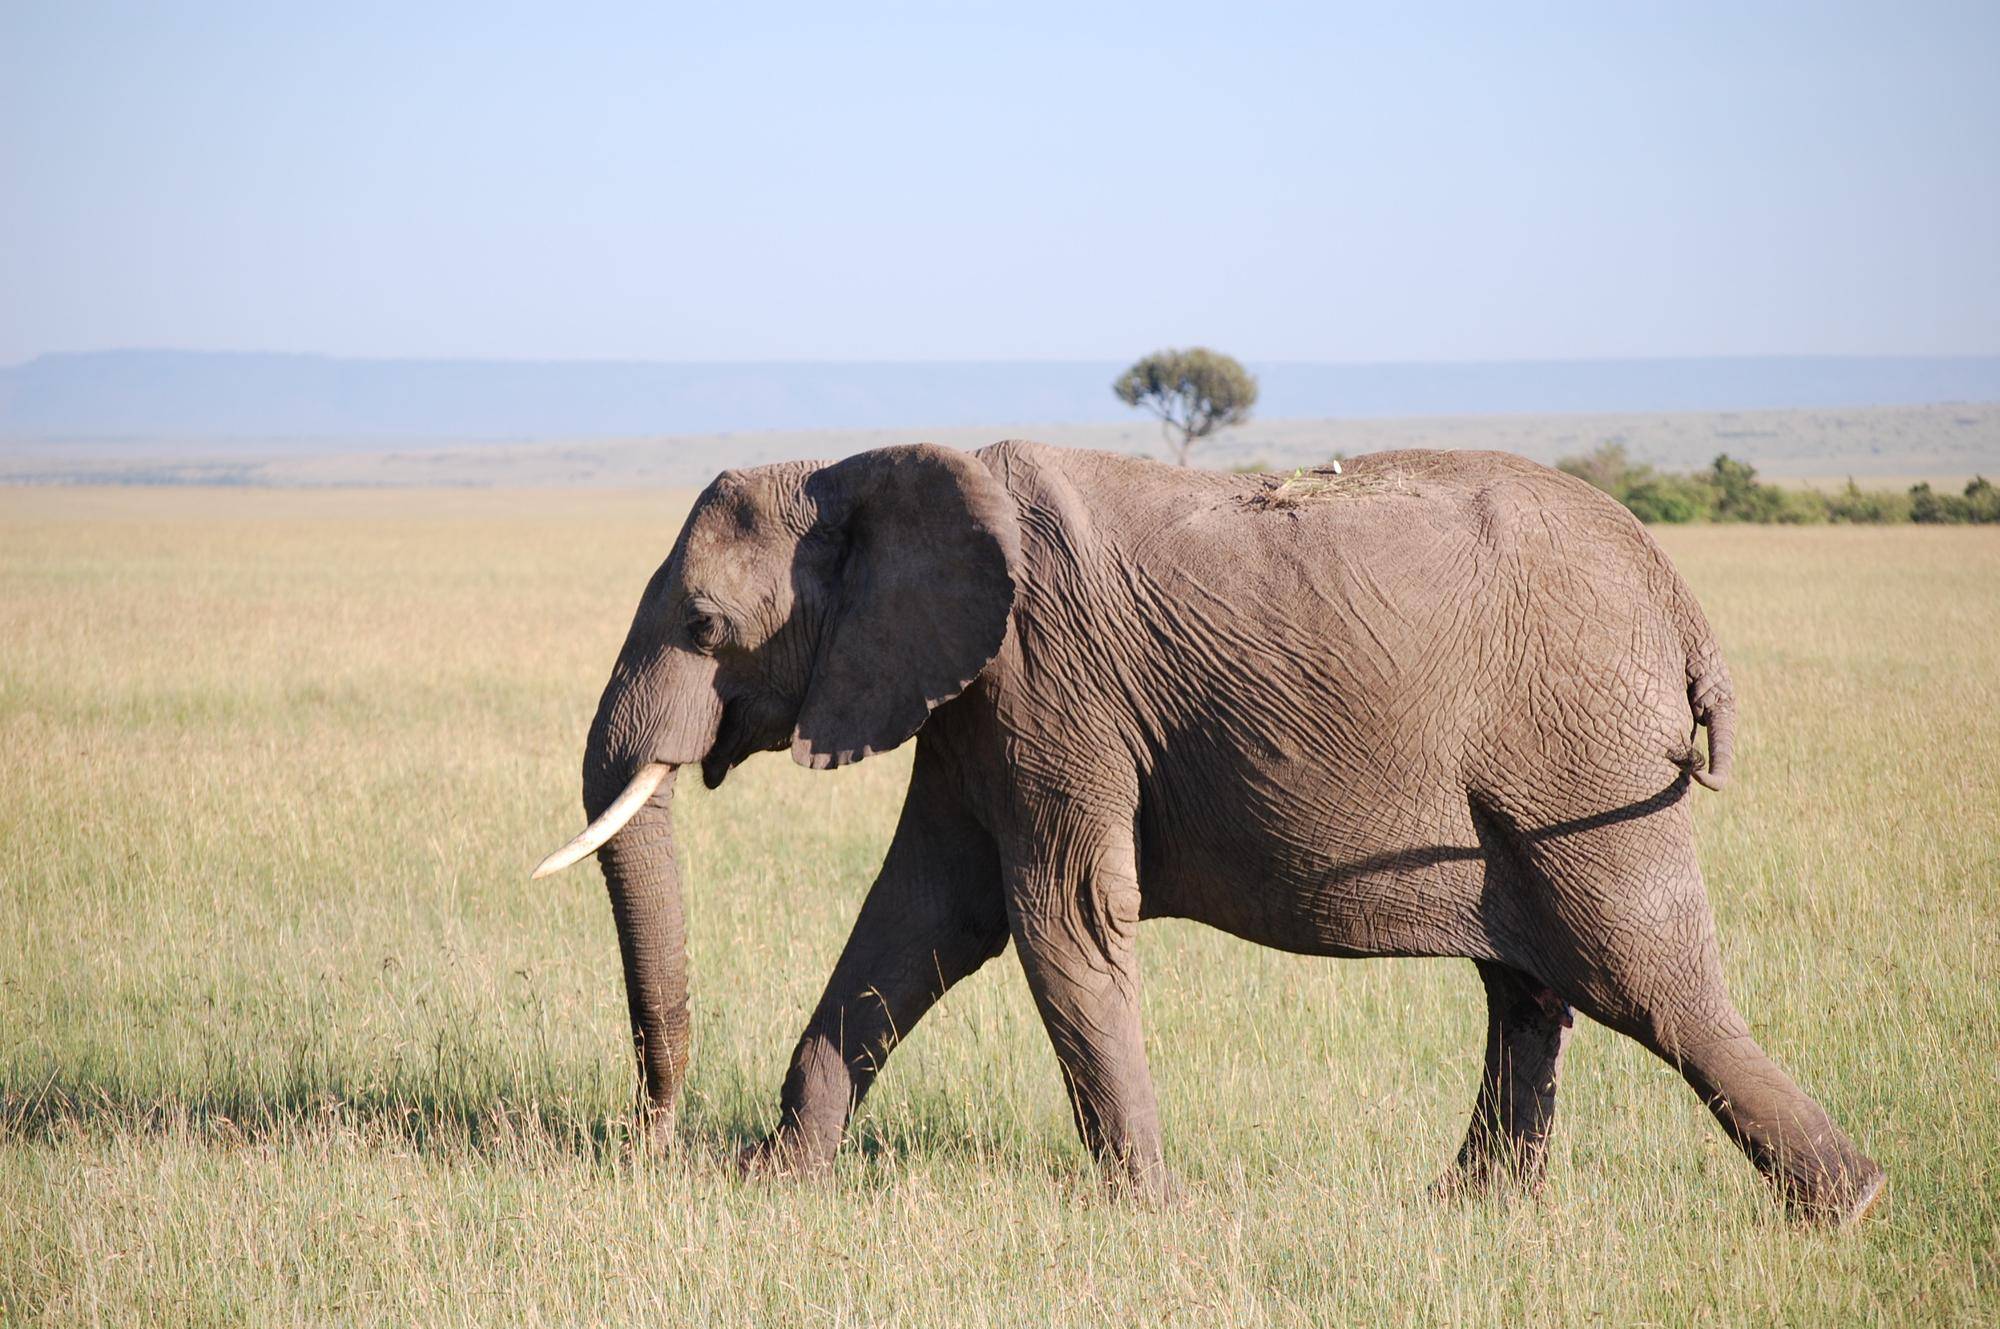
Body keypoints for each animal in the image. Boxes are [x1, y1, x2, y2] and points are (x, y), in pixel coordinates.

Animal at [533, 439, 1884, 1224]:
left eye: (705, 626)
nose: (646, 1143)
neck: (860, 464)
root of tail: (1681, 603)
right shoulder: (972, 697)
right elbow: (917, 921)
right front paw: (774, 1184)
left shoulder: (1048, 680)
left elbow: (1062, 920)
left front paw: (1149, 1213)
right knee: (1531, 986)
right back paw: (1466, 1213)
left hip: (1576, 753)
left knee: (1637, 975)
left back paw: (1845, 1209)